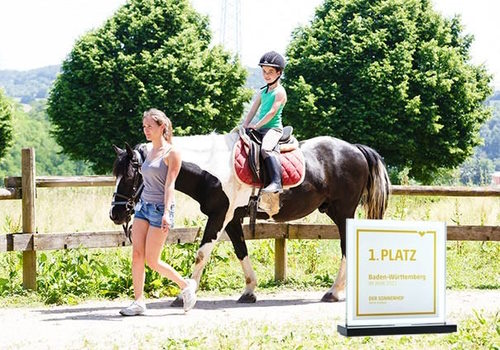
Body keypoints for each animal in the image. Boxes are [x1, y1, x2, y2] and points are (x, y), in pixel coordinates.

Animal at [109, 131, 390, 304]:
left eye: (132, 175)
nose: (116, 213)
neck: (211, 167)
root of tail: (355, 149)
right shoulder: (232, 219)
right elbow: (241, 251)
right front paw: (249, 290)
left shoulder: (219, 216)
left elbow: (201, 254)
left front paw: (183, 295)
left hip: (343, 212)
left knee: (346, 247)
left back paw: (334, 292)